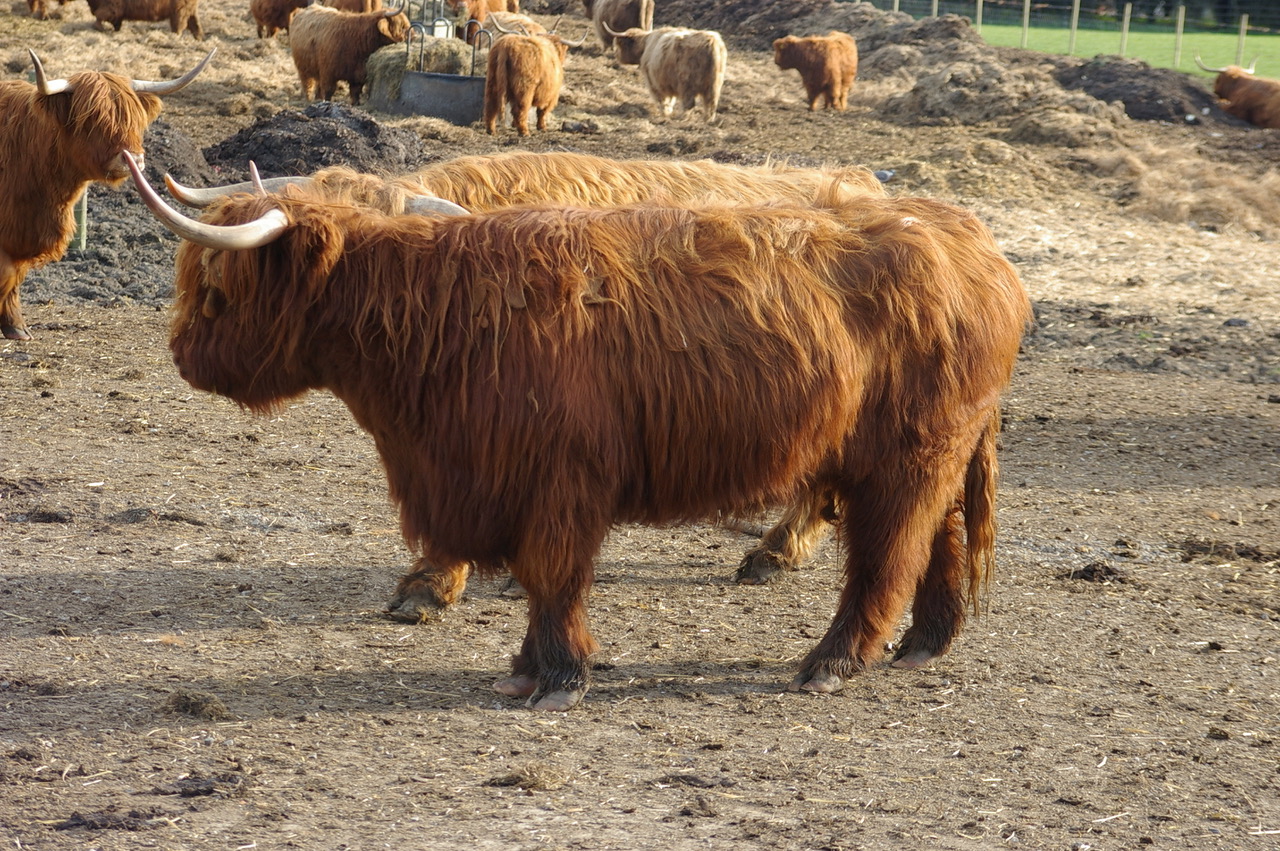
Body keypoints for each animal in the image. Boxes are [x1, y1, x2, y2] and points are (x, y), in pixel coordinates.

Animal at [0, 50, 214, 342]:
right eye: (93, 119)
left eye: (133, 118)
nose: (133, 158)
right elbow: (7, 274)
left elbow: (13, 275)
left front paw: (16, 327)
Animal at [127, 153, 1030, 712]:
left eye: (218, 285)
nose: (182, 354)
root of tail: (965, 232)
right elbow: (531, 579)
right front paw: (522, 665)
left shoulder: (558, 480)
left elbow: (554, 576)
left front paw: (558, 674)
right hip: (930, 453)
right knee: (942, 537)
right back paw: (926, 641)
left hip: (905, 457)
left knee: (888, 555)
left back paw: (832, 659)